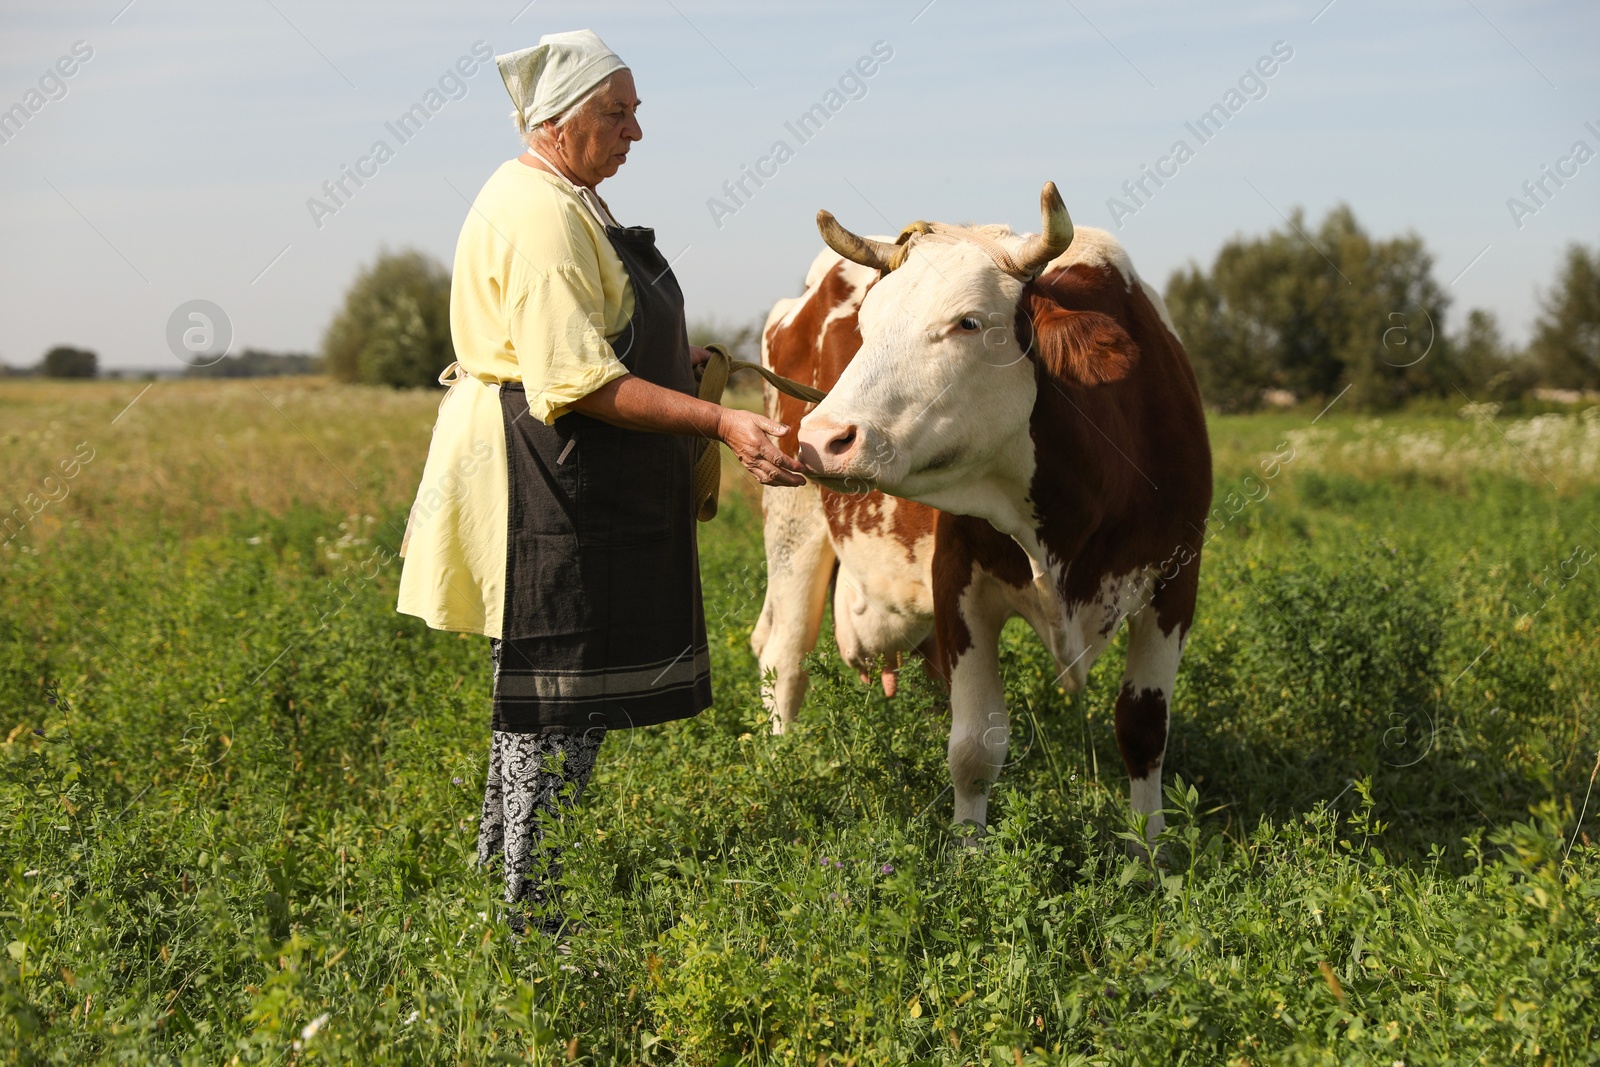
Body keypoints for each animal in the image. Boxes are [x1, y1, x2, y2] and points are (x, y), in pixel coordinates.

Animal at [793, 187, 1203, 844]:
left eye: (968, 322)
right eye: (865, 324)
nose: (823, 438)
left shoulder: (1178, 578)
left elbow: (1144, 730)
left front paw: (1150, 851)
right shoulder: (958, 580)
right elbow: (973, 747)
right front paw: (969, 851)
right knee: (779, 648)